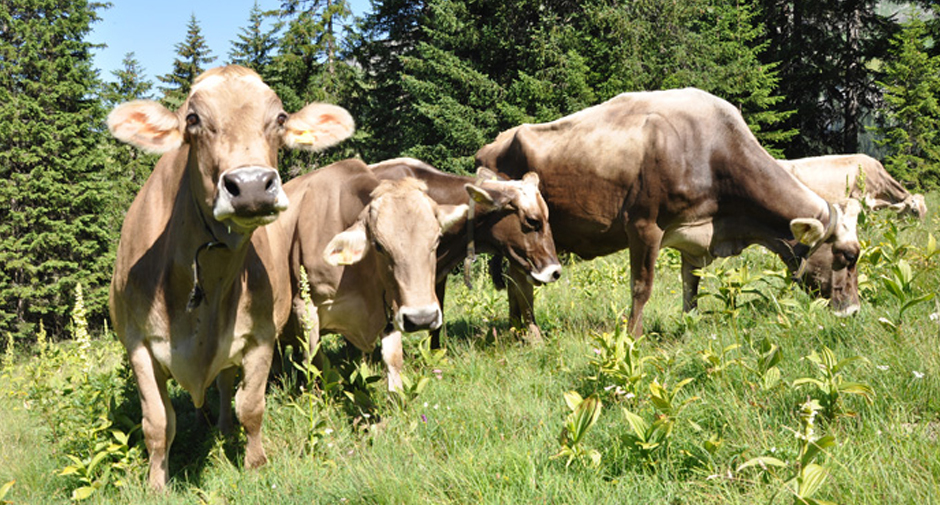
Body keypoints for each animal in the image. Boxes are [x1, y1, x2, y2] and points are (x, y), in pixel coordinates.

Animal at [107, 67, 356, 488]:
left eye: (280, 118)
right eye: (193, 119)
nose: (252, 185)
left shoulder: (261, 335)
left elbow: (251, 406)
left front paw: (255, 464)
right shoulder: (138, 344)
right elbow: (157, 424)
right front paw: (156, 484)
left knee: (225, 385)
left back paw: (223, 428)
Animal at [474, 88, 864, 336]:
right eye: (846, 255)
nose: (854, 311)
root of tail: (490, 146)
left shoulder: (696, 238)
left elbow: (691, 287)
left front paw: (688, 328)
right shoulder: (643, 226)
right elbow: (641, 287)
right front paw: (633, 338)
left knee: (516, 281)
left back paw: (518, 331)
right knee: (522, 282)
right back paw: (532, 334)